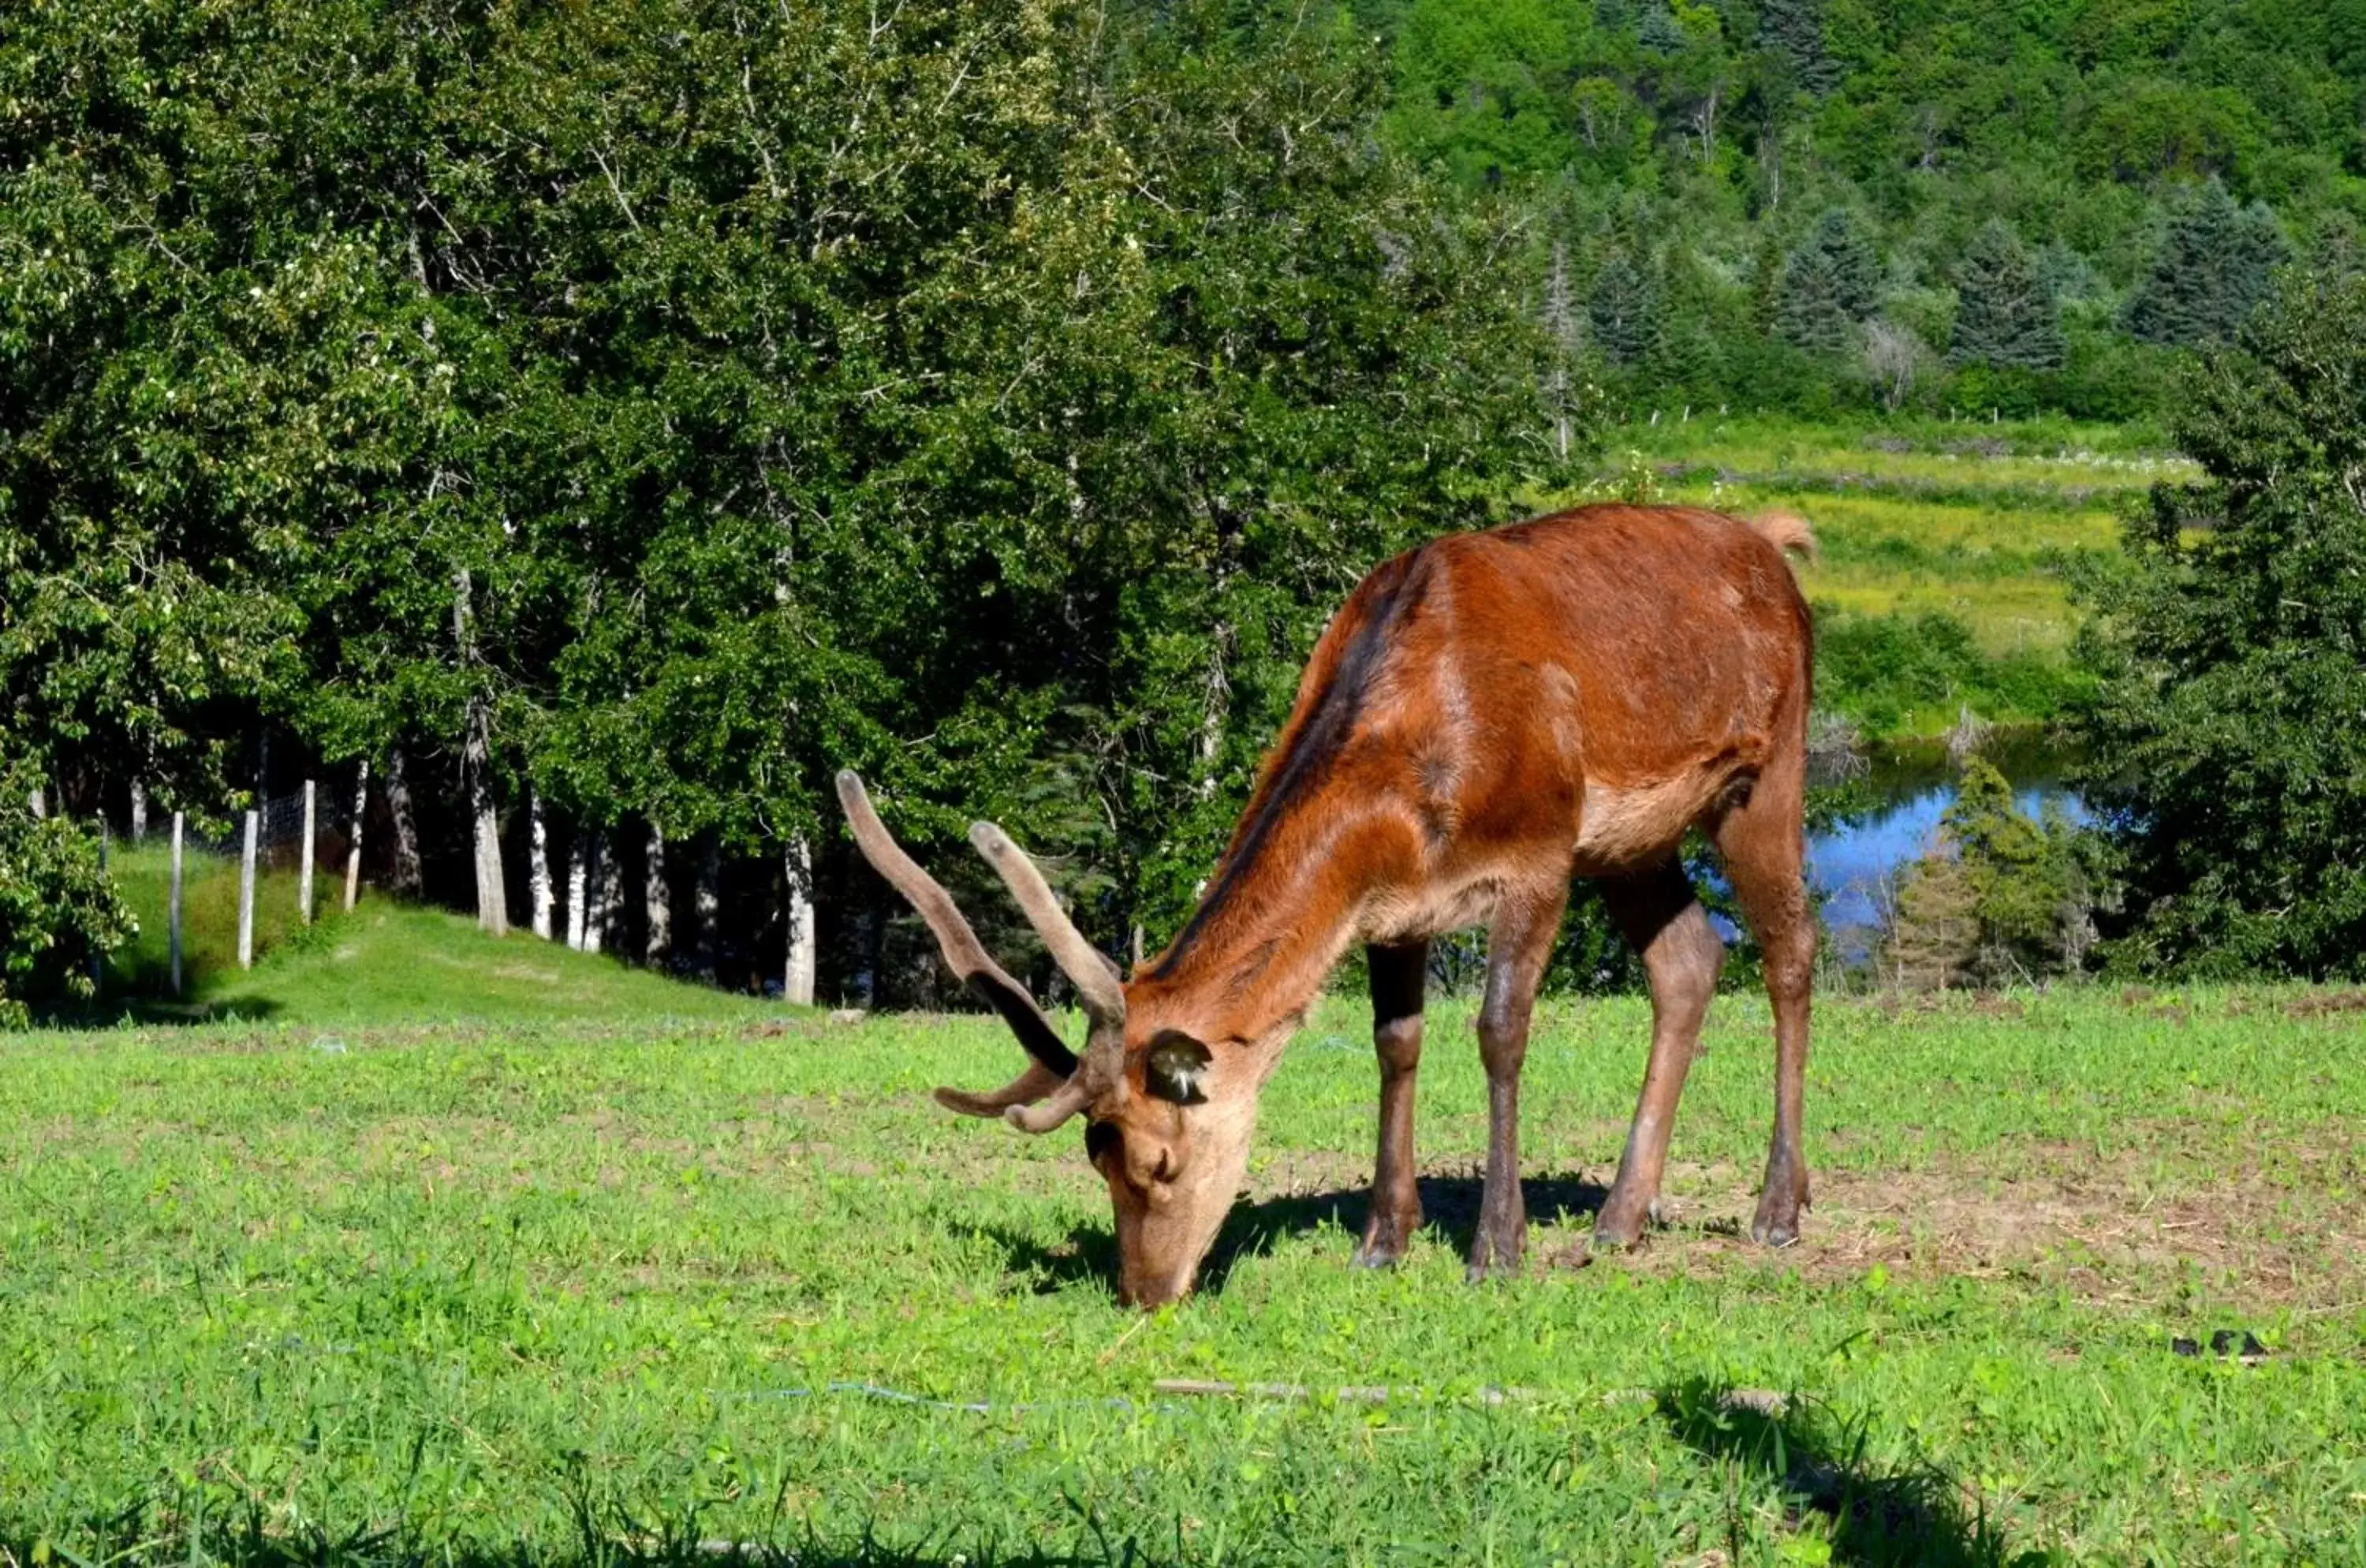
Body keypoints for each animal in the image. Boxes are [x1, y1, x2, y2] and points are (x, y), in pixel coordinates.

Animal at [842, 506, 1817, 1315]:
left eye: (1158, 1160)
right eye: (1095, 1158)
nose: (1145, 1294)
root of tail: (1776, 546)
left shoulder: (1540, 852)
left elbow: (1500, 1033)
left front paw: (1496, 1251)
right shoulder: (1394, 906)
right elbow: (1396, 1045)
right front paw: (1384, 1240)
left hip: (1765, 769)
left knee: (1789, 950)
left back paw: (1777, 1208)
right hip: (1628, 843)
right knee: (1689, 960)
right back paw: (1620, 1217)